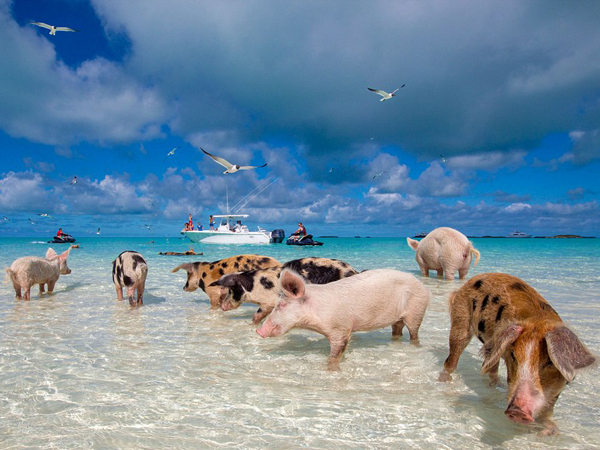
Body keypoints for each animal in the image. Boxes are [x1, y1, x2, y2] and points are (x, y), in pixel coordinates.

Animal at [214, 256, 358, 324]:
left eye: (231, 290)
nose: (222, 306)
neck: (253, 285)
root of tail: (352, 271)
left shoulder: (268, 302)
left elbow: (257, 315)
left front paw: (252, 325)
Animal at [255, 268, 428, 370]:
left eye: (281, 305)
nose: (259, 331)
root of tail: (420, 284)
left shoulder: (341, 329)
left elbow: (335, 354)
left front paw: (331, 370)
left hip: (417, 310)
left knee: (414, 333)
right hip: (398, 318)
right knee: (397, 330)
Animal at [438, 272, 596, 434]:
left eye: (550, 362)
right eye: (514, 356)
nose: (517, 411)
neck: (538, 320)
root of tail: (465, 285)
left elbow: (549, 408)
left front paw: (550, 432)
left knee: (491, 366)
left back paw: (497, 386)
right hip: (460, 321)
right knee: (452, 358)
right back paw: (444, 382)